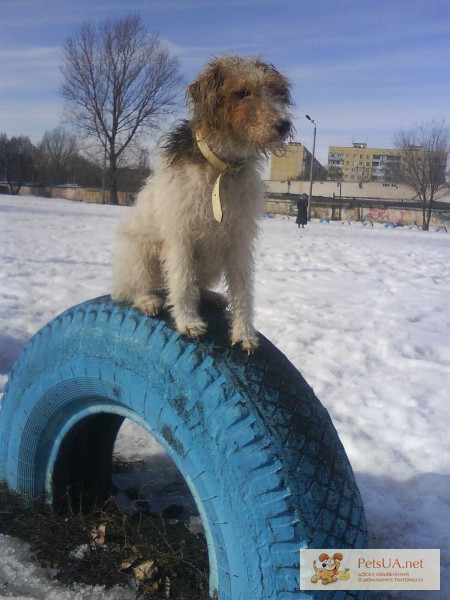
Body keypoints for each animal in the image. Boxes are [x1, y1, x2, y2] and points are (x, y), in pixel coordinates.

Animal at [112, 55, 294, 352]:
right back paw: (148, 300)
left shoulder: (239, 242)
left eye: (276, 91)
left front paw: (244, 334)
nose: (283, 124)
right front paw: (188, 323)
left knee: (198, 286)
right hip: (140, 253)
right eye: (242, 92)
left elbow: (243, 292)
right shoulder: (181, 237)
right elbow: (182, 283)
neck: (223, 168)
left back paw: (212, 296)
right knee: (133, 289)